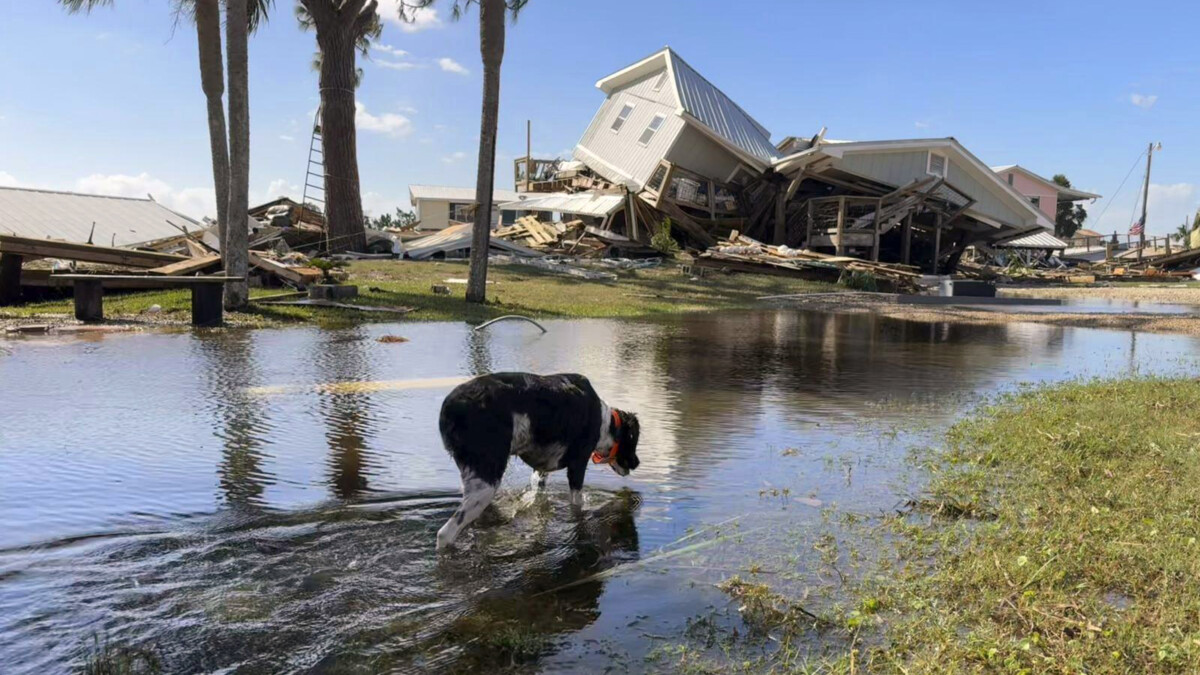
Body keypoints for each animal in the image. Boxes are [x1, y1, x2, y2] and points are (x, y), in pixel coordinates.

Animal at [439, 369, 643, 550]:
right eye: (634, 440)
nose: (637, 463)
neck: (604, 422)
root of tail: (450, 407)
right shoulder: (578, 465)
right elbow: (576, 505)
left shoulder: (541, 470)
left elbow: (539, 497)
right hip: (485, 485)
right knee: (444, 534)